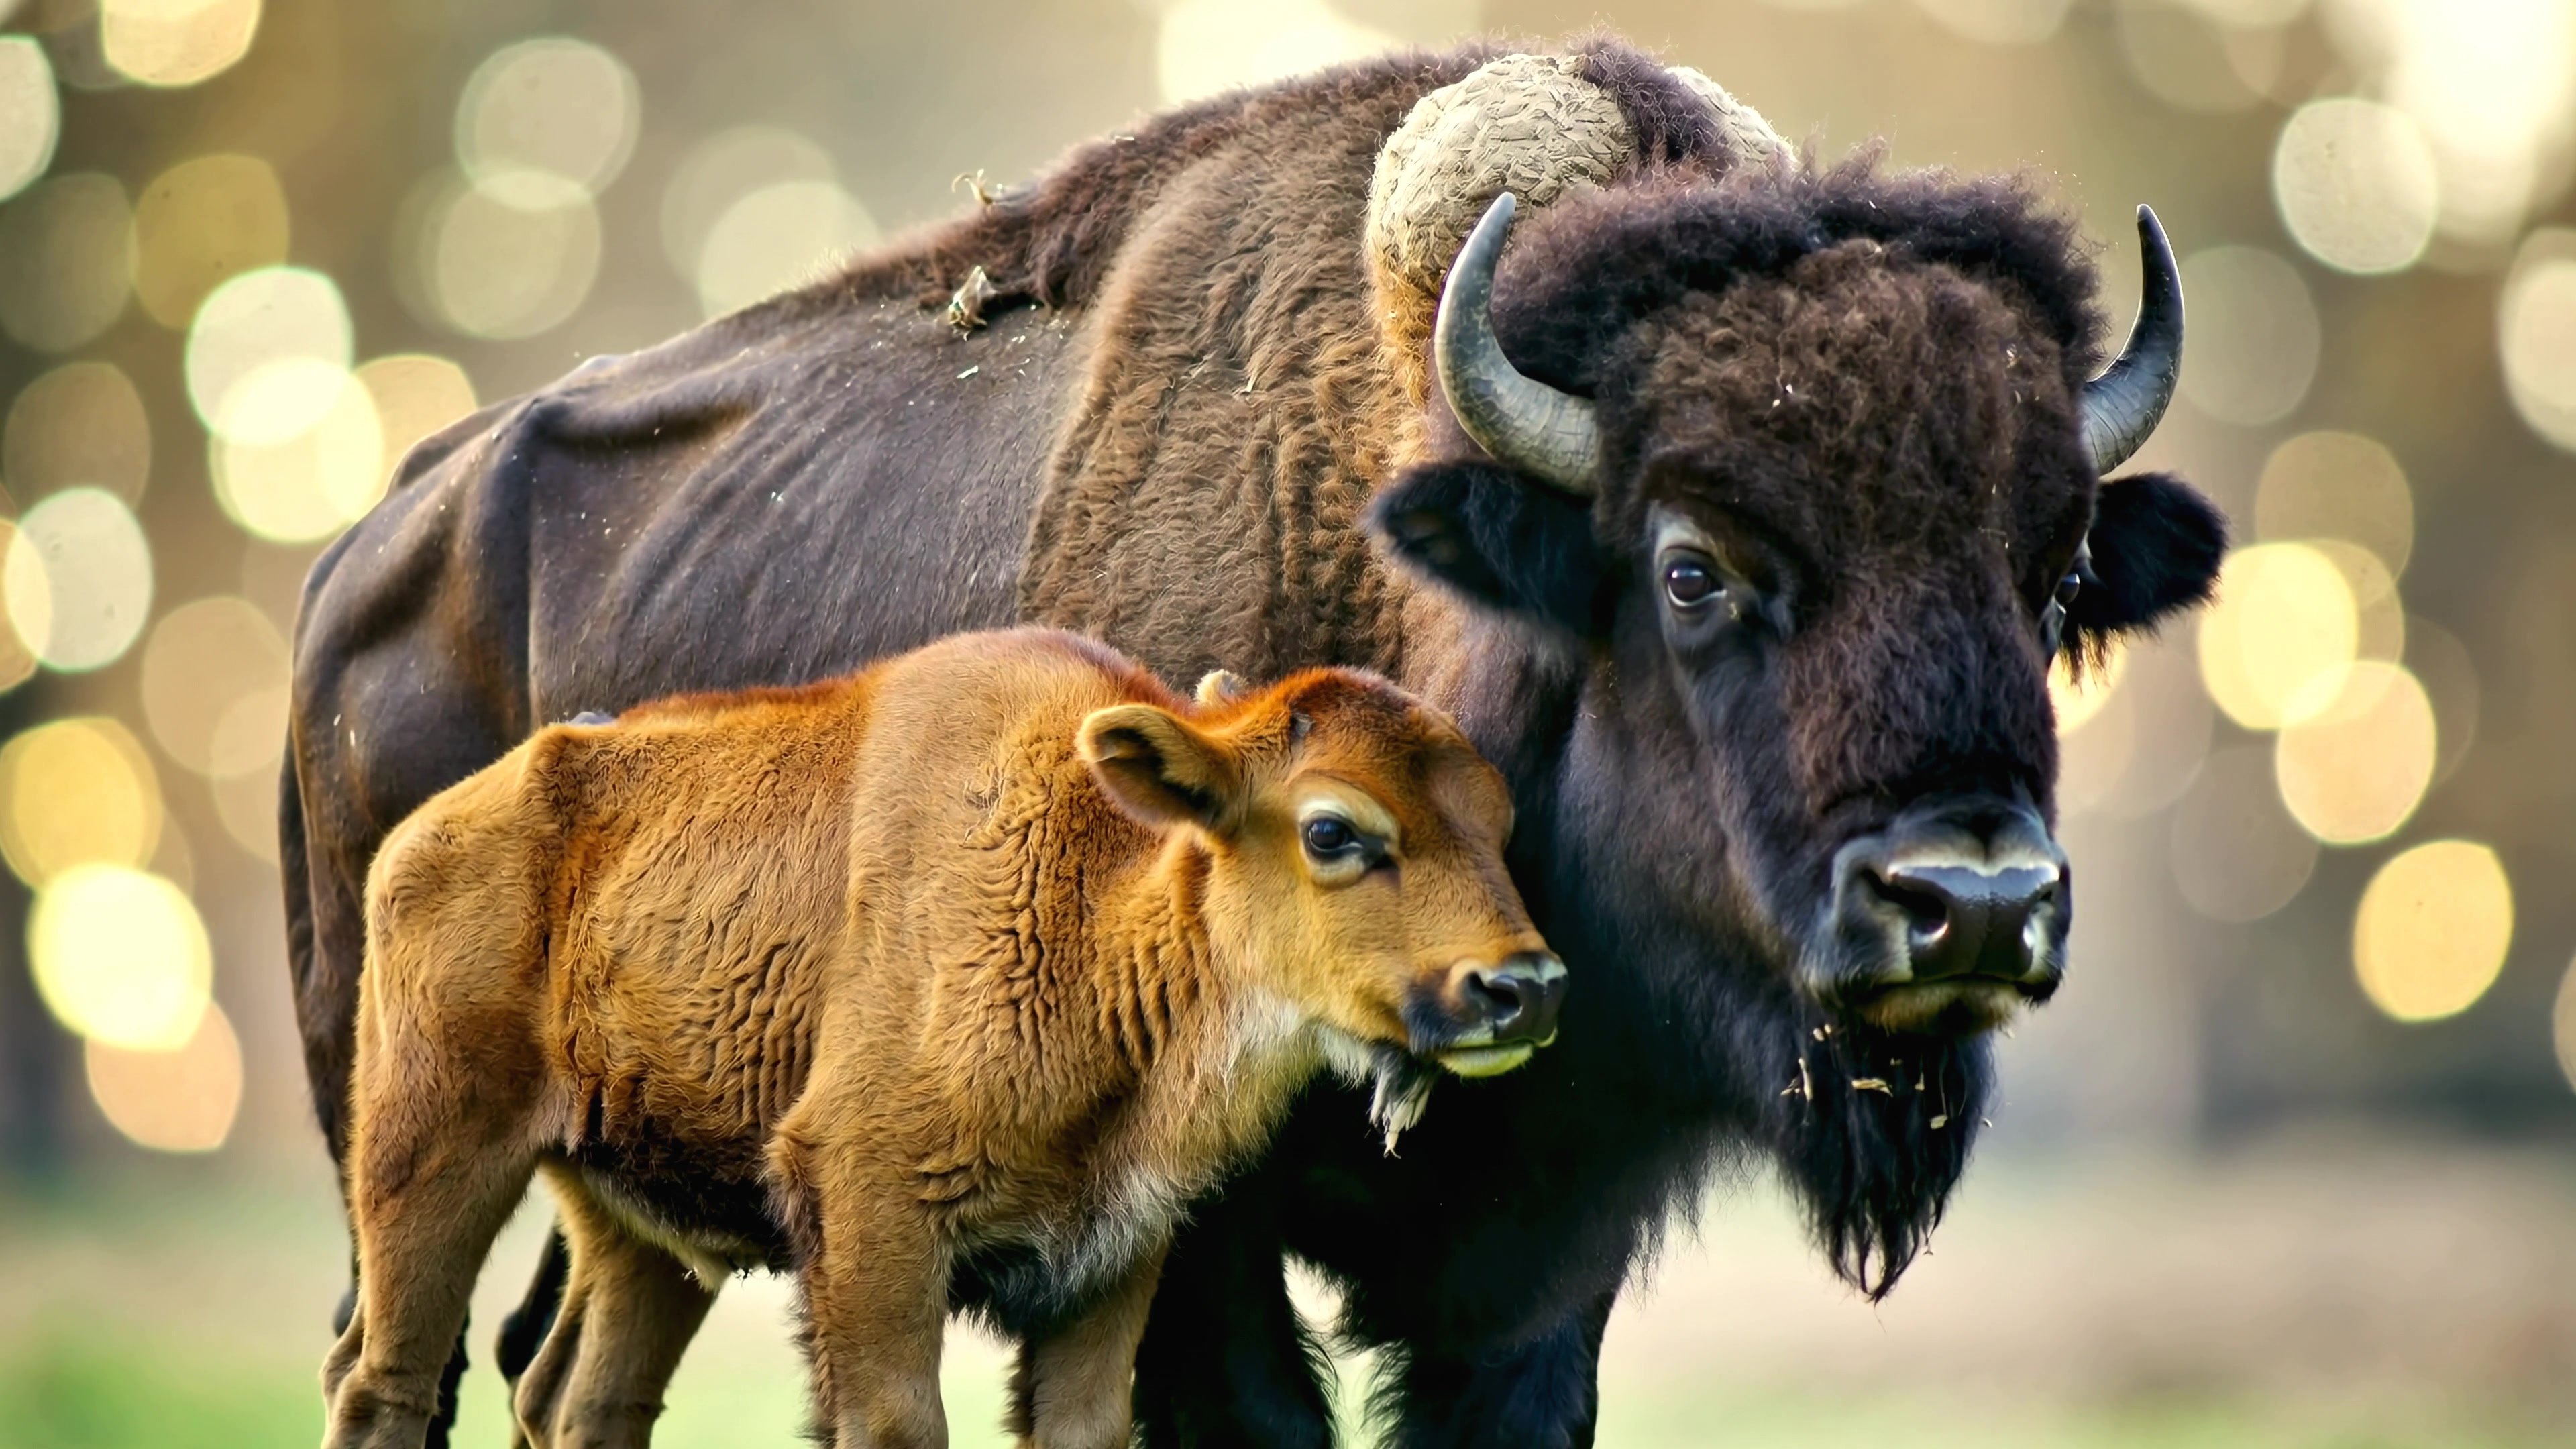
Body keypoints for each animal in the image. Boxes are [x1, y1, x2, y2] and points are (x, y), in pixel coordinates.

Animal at [321, 628, 1562, 1449]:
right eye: (1333, 831)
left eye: (1498, 820)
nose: (1526, 988)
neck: (1098, 893)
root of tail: (426, 832)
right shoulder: (873, 1218)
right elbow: (896, 1425)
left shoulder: (1113, 1257)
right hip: (428, 1156)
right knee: (384, 1380)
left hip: (645, 1233)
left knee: (585, 1398)